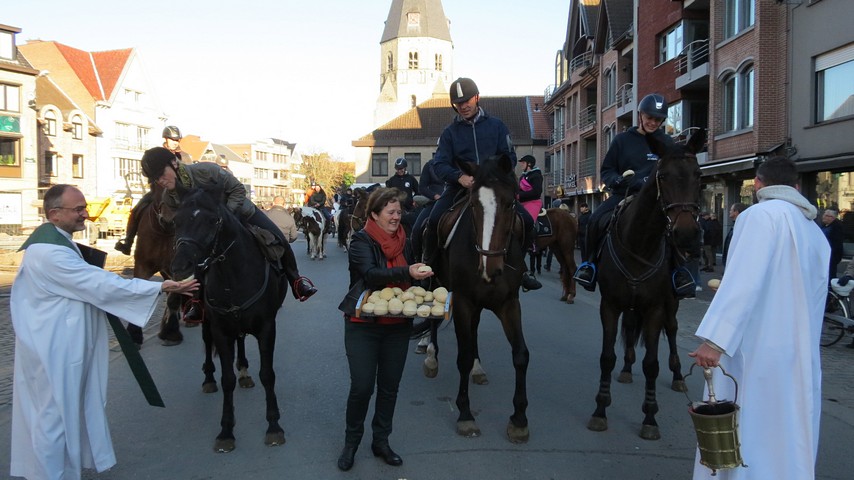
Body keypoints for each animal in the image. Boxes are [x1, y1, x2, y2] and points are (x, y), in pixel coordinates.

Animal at [171, 188, 288, 454]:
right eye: (175, 221)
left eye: (212, 220)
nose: (180, 266)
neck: (232, 276)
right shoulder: (221, 331)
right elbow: (227, 381)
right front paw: (226, 431)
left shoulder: (268, 328)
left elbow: (268, 374)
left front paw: (274, 426)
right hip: (207, 322)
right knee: (209, 344)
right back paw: (209, 379)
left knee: (242, 340)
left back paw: (244, 370)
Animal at [426, 154, 532, 442]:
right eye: (473, 204)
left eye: (510, 203)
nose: (489, 267)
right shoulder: (462, 301)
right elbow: (461, 356)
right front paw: (465, 414)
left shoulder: (509, 303)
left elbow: (521, 354)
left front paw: (519, 418)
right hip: (434, 284)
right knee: (432, 321)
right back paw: (431, 356)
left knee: (473, 330)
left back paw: (477, 367)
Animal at [588, 129, 708, 440]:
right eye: (662, 176)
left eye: (699, 175)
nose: (687, 235)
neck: (639, 243)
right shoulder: (610, 305)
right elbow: (606, 357)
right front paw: (600, 410)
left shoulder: (655, 308)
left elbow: (652, 364)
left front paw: (650, 417)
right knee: (631, 328)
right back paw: (627, 368)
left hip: (671, 304)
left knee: (673, 332)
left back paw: (677, 375)